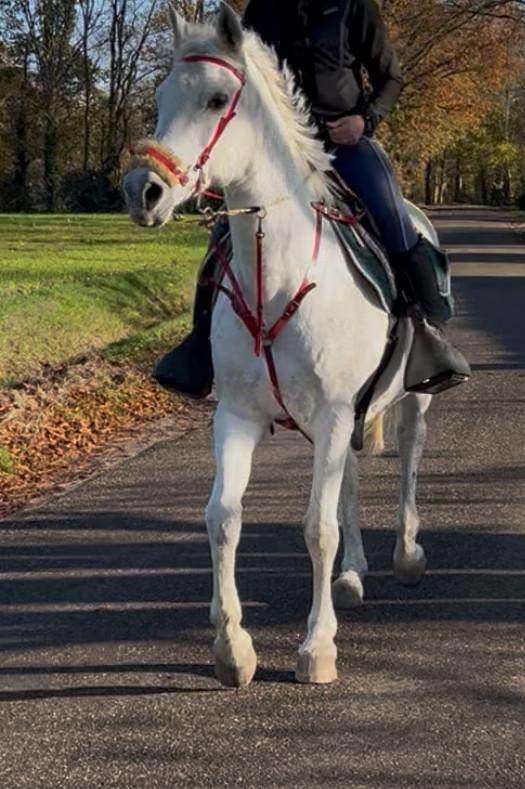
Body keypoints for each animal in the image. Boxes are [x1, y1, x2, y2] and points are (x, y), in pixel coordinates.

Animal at [123, 4, 433, 687]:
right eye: (160, 98)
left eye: (217, 99)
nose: (143, 191)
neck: (277, 275)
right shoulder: (238, 416)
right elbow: (223, 518)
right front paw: (232, 647)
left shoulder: (336, 410)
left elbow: (316, 527)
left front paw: (317, 647)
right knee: (349, 483)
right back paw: (353, 576)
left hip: (412, 399)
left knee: (407, 457)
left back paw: (405, 554)